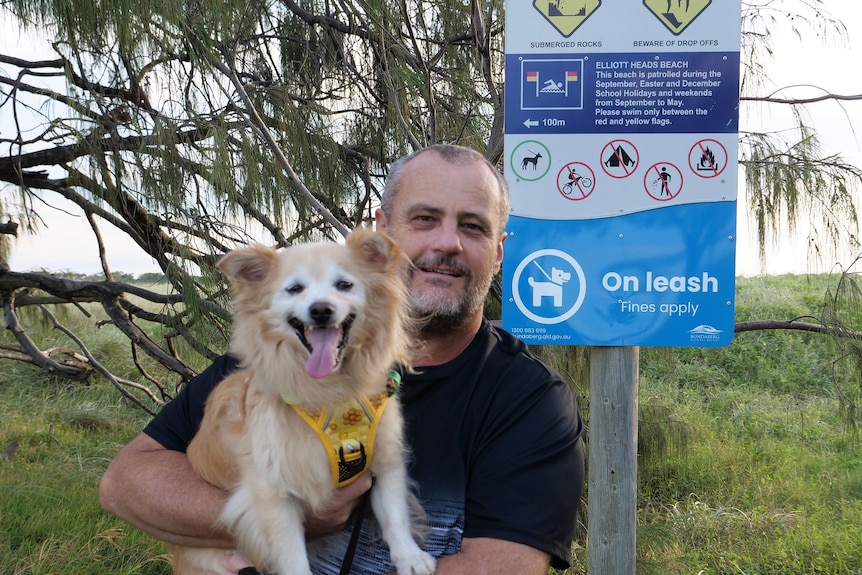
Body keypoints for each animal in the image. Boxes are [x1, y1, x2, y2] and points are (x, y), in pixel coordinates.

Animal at [171, 230, 436, 575]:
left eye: (344, 285)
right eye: (295, 289)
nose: (321, 310)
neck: (331, 393)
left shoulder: (386, 461)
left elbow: (394, 515)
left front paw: (409, 556)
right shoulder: (275, 496)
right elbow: (292, 556)